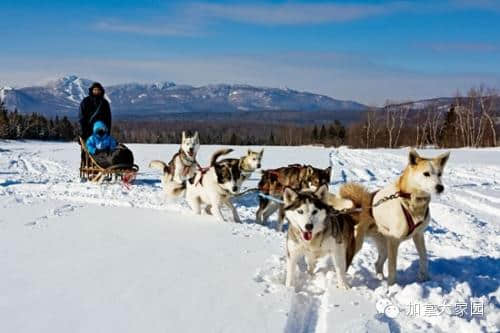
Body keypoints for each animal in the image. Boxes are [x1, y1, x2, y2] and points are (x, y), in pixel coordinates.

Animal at [340, 149, 450, 284]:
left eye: (439, 174)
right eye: (426, 174)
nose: (440, 187)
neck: (411, 200)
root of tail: (361, 205)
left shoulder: (418, 235)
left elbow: (424, 258)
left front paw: (425, 279)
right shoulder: (394, 241)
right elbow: (392, 267)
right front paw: (392, 286)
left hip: (384, 247)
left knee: (377, 263)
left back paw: (380, 277)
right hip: (357, 245)